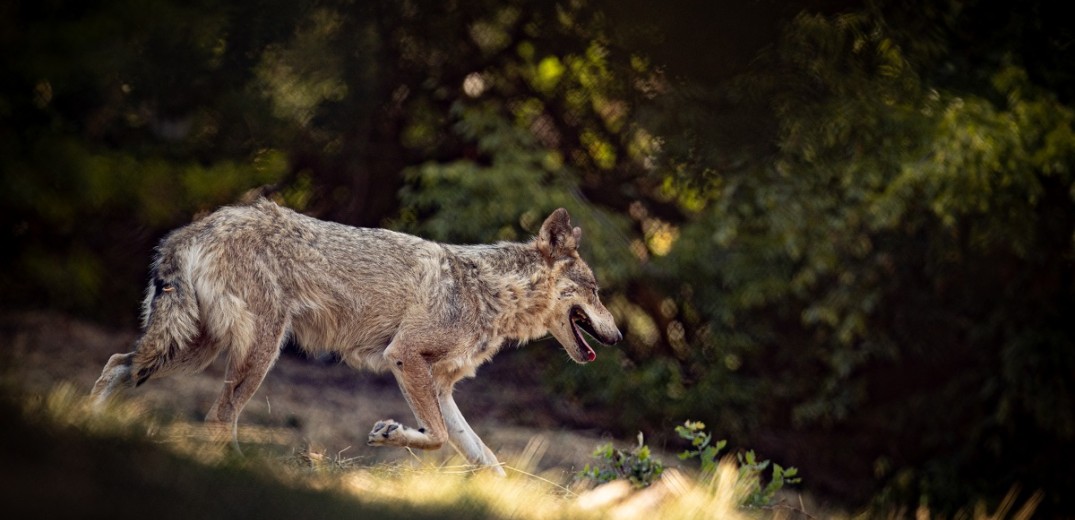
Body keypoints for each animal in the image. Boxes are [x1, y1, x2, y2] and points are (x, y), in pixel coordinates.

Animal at [90, 199, 623, 474]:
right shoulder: (404, 357)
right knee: (219, 417)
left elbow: (483, 455)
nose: (618, 337)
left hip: (194, 349)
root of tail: (197, 226)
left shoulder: (442, 387)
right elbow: (437, 440)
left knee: (117, 363)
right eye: (596, 292)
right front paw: (390, 434)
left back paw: (91, 423)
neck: (491, 290)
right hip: (255, 352)